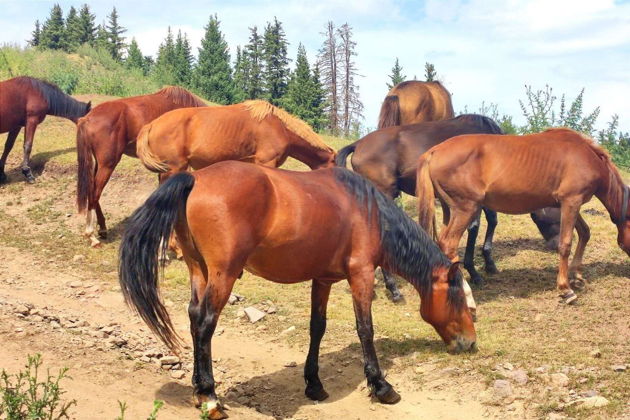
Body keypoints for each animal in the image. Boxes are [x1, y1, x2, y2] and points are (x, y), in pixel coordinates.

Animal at [76, 86, 207, 247]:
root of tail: (87, 119)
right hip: (107, 165)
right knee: (95, 193)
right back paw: (91, 235)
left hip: (99, 164)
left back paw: (102, 229)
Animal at [118, 162, 476, 418]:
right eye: (461, 300)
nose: (470, 343)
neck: (368, 211)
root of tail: (195, 179)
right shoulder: (361, 275)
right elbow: (365, 329)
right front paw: (380, 386)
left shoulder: (323, 279)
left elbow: (317, 327)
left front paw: (314, 384)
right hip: (223, 274)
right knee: (205, 323)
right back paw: (210, 398)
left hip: (199, 270)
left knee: (194, 317)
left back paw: (198, 390)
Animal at [417, 128, 630, 305]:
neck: (587, 156)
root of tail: (434, 151)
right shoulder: (571, 201)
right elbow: (566, 243)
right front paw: (565, 288)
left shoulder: (567, 204)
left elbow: (585, 233)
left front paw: (576, 274)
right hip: (466, 209)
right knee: (449, 244)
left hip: (450, 210)